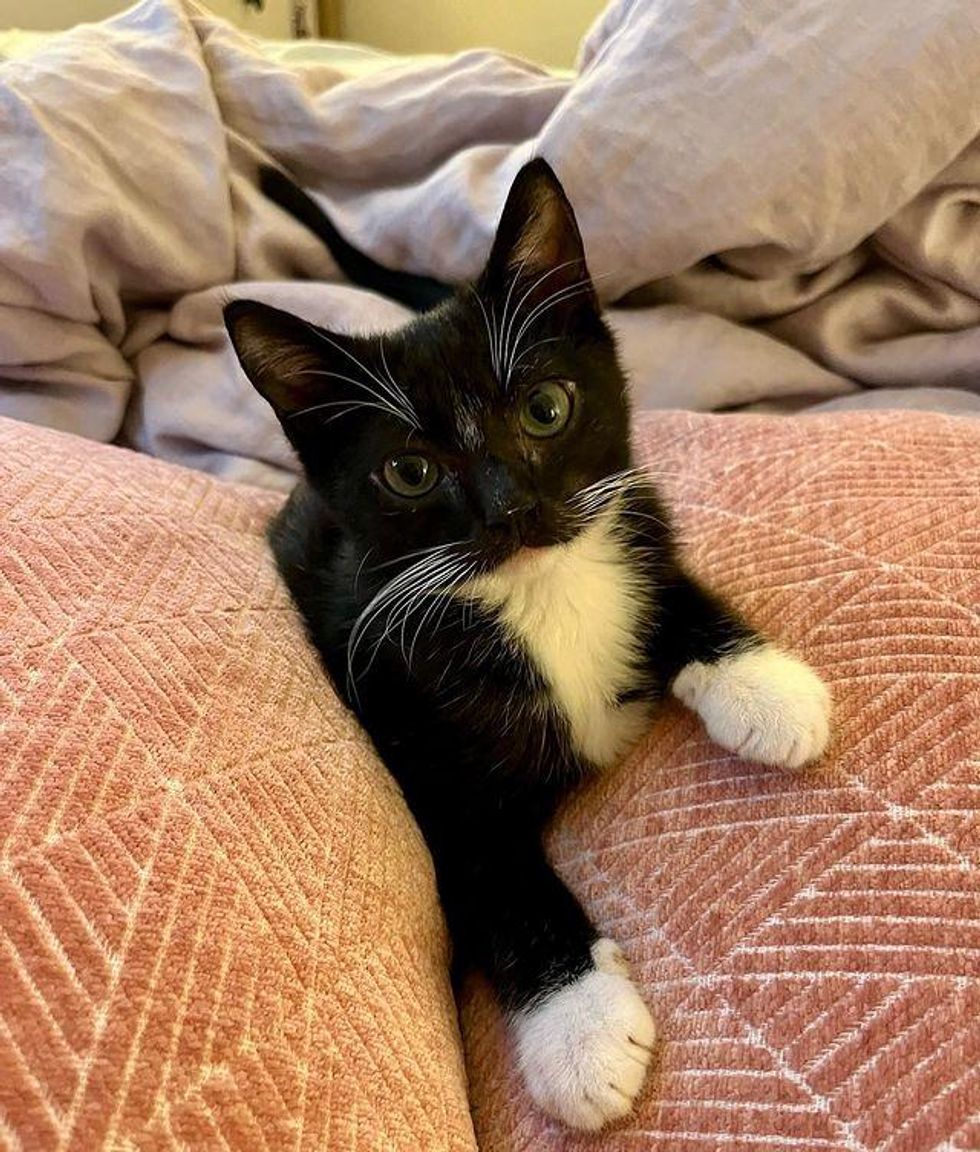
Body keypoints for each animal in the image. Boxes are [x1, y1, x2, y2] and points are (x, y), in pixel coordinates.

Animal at [225, 162, 833, 1133]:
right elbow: (503, 889)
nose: (512, 510)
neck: (538, 590)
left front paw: (768, 691)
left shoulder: (635, 515)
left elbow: (678, 592)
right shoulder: (419, 747)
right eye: (409, 472)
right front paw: (581, 1033)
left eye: (547, 409)